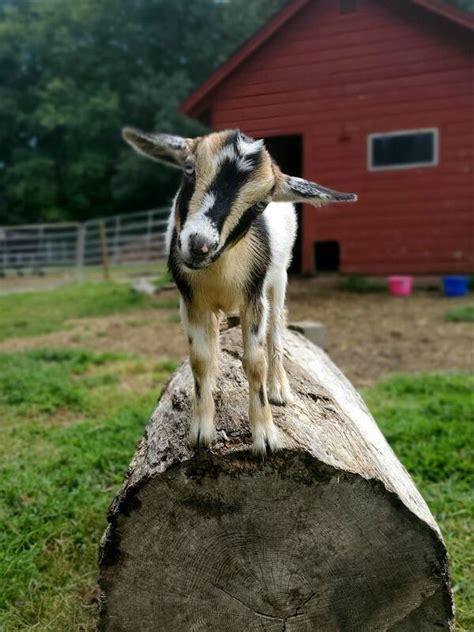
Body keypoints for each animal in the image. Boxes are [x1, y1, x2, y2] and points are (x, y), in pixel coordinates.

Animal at [122, 128, 356, 454]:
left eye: (260, 204)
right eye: (188, 168)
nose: (199, 246)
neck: (218, 272)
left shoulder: (253, 297)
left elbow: (255, 362)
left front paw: (266, 438)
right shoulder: (191, 302)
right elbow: (200, 358)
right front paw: (201, 431)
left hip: (279, 279)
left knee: (277, 328)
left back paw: (278, 388)